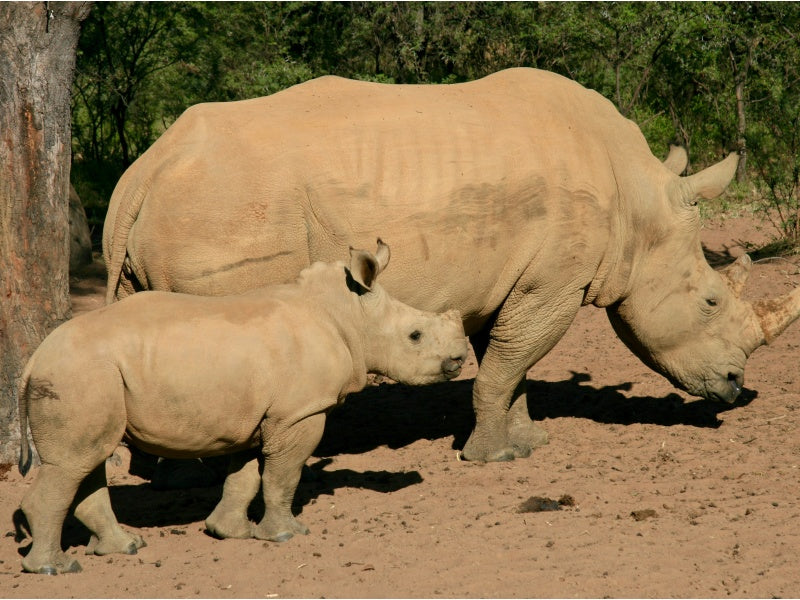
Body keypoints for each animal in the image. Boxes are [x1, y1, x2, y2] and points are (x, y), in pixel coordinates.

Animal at [16, 241, 467, 574]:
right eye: (415, 335)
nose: (461, 358)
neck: (349, 315)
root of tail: (34, 359)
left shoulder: (255, 417)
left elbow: (245, 477)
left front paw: (227, 532)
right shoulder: (300, 413)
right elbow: (283, 476)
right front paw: (287, 534)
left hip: (91, 376)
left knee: (86, 459)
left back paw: (125, 547)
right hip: (79, 374)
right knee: (71, 465)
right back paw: (55, 568)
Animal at [103, 67, 800, 463]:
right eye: (710, 301)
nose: (736, 387)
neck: (640, 207)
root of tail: (147, 169)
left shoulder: (514, 279)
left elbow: (510, 365)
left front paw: (526, 445)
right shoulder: (553, 283)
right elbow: (505, 366)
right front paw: (489, 460)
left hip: (180, 208)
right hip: (228, 207)